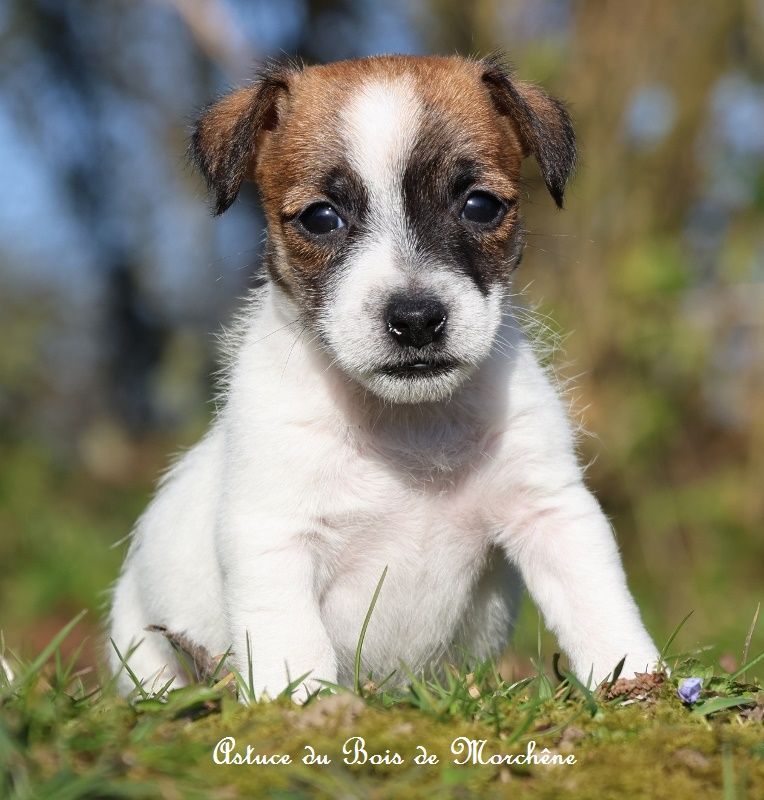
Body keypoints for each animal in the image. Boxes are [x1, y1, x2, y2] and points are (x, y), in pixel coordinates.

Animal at [109, 53, 664, 700]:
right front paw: (303, 708)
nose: (417, 319)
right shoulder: (274, 538)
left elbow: (599, 608)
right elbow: (292, 646)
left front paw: (640, 687)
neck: (408, 423)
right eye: (321, 217)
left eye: (480, 206)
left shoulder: (550, 512)